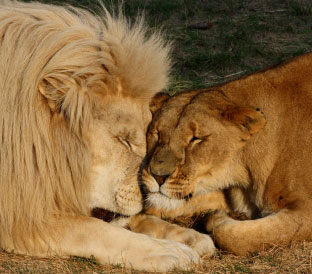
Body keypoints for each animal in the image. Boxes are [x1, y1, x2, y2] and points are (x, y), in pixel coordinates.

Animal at [0, 0, 212, 272]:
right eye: (124, 140)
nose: (151, 192)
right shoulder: (21, 214)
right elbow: (93, 230)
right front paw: (170, 251)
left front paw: (187, 237)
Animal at [143, 53, 312, 255]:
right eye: (156, 133)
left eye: (196, 139)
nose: (157, 176)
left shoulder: (306, 209)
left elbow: (232, 236)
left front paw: (221, 218)